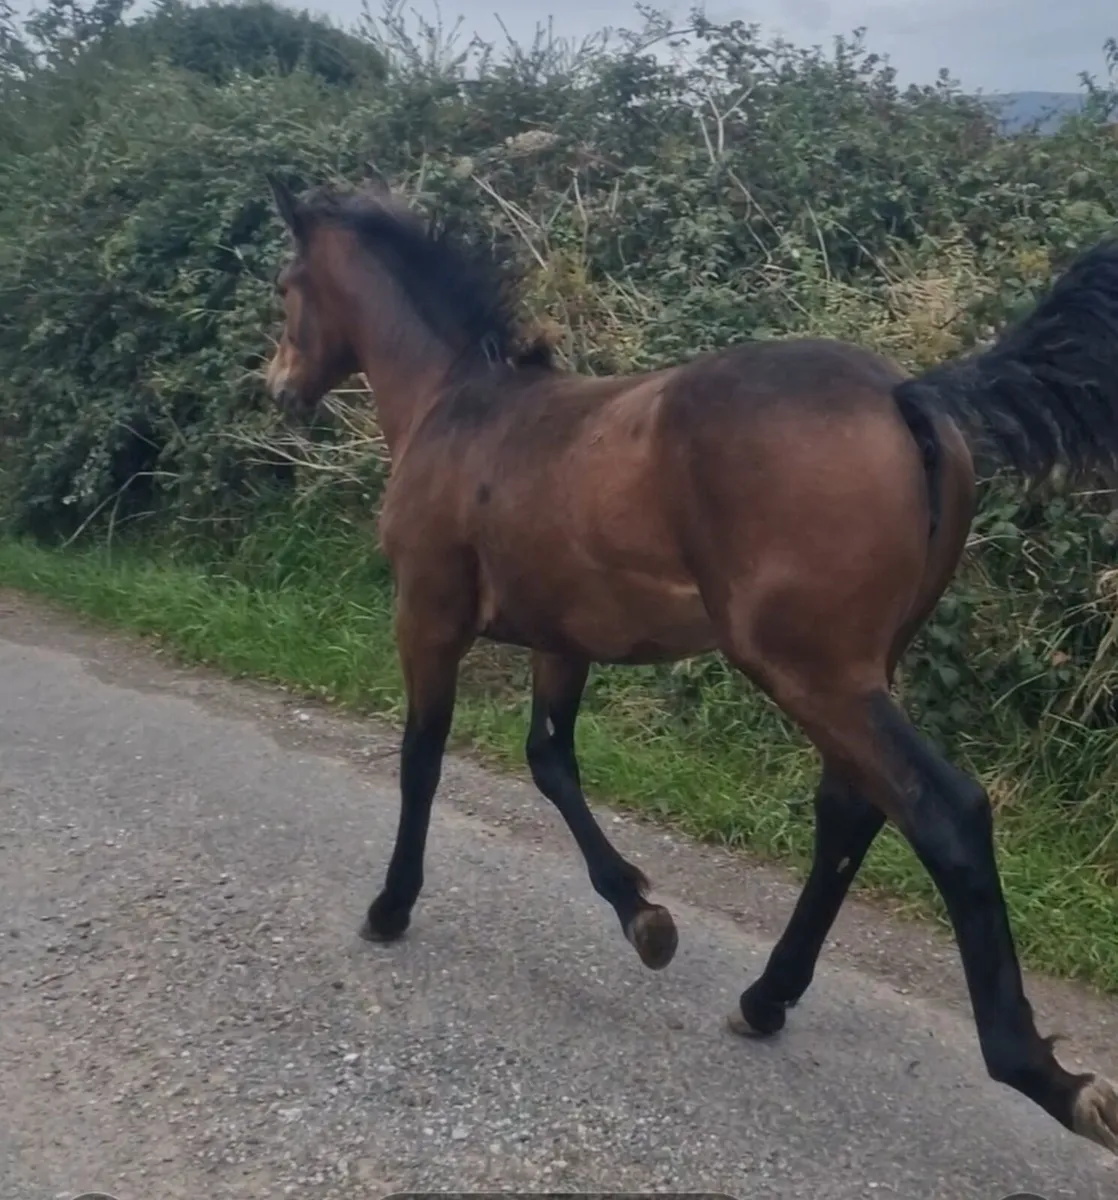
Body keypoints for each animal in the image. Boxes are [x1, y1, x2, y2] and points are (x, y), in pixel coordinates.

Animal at [261, 167, 1118, 1153]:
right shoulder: (562, 639)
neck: (457, 405)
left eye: (286, 286)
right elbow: (549, 760)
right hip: (863, 669)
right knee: (852, 811)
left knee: (946, 815)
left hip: (810, 671)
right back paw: (766, 997)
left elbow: (423, 758)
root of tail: (904, 395)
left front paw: (390, 907)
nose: (277, 386)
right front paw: (644, 916)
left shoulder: (428, 618)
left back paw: (1047, 1075)